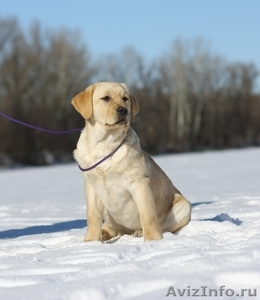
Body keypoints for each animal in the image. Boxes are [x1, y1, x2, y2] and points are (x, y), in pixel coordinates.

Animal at [71, 81, 191, 241]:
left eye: (125, 98)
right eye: (106, 98)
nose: (123, 110)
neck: (105, 144)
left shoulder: (139, 182)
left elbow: (147, 214)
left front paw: (153, 240)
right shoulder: (91, 184)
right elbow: (92, 215)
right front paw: (91, 241)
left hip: (184, 206)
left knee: (162, 225)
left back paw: (140, 232)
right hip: (109, 214)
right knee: (112, 228)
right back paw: (104, 233)